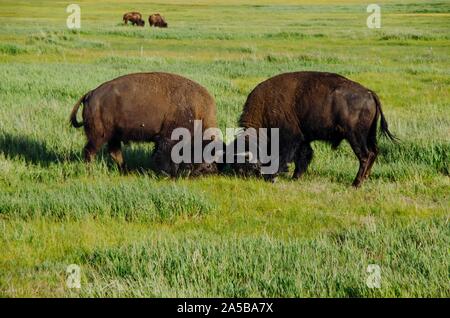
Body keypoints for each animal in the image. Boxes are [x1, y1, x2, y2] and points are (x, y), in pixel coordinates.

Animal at [69, 72, 219, 176]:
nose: (211, 169)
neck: (197, 111)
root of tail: (90, 94)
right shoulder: (169, 138)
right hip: (99, 136)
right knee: (90, 152)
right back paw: (90, 172)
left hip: (113, 136)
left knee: (114, 152)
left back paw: (126, 171)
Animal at [230, 71, 396, 188]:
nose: (240, 175)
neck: (265, 108)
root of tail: (370, 93)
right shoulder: (303, 139)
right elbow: (304, 156)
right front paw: (295, 177)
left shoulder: (290, 138)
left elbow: (285, 156)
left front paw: (273, 177)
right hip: (369, 135)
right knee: (374, 152)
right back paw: (364, 179)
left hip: (356, 137)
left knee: (365, 156)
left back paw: (356, 184)